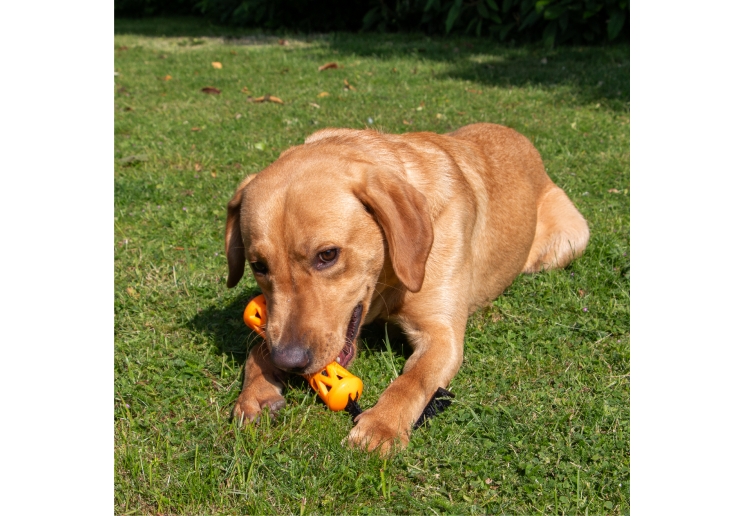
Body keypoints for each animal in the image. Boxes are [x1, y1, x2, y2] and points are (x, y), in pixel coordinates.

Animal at [224, 123, 588, 454]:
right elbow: (259, 345)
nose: (288, 361)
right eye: (258, 266)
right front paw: (257, 390)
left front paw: (381, 426)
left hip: (571, 239)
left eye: (327, 255)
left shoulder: (442, 334)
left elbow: (412, 381)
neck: (388, 284)